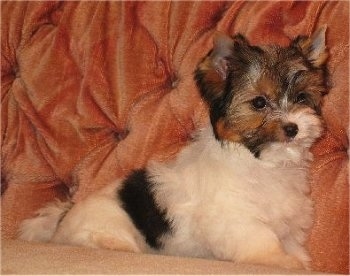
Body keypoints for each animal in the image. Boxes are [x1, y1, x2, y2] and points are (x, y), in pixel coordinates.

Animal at [18, 27, 328, 270]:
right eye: (260, 103)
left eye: (302, 97)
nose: (292, 128)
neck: (263, 161)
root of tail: (63, 217)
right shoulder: (236, 216)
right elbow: (262, 240)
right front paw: (282, 261)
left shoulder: (288, 219)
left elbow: (289, 239)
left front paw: (298, 259)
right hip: (104, 227)